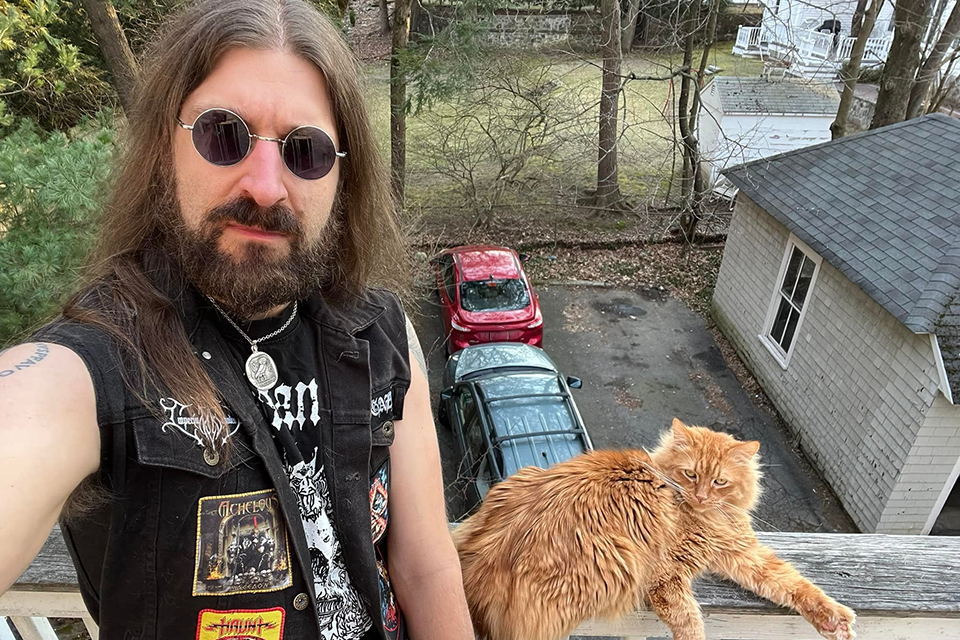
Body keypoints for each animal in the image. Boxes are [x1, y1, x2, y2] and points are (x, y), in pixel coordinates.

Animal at [454, 418, 860, 640]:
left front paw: (832, 620)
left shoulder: (743, 553)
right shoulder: (666, 576)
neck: (704, 517)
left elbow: (792, 584)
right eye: (691, 474)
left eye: (719, 482)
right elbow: (690, 619)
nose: (700, 496)